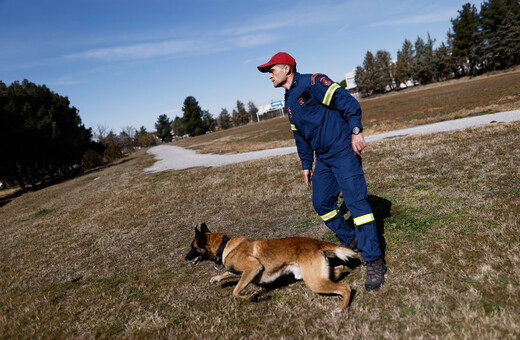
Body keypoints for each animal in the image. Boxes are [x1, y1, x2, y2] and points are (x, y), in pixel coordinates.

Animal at [185, 223, 360, 314]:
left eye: (192, 247)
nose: (185, 258)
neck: (224, 245)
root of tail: (316, 242)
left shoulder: (252, 268)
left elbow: (235, 291)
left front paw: (251, 295)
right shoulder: (240, 272)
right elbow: (227, 274)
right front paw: (215, 278)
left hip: (314, 282)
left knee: (345, 288)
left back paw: (341, 309)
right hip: (315, 276)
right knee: (339, 268)